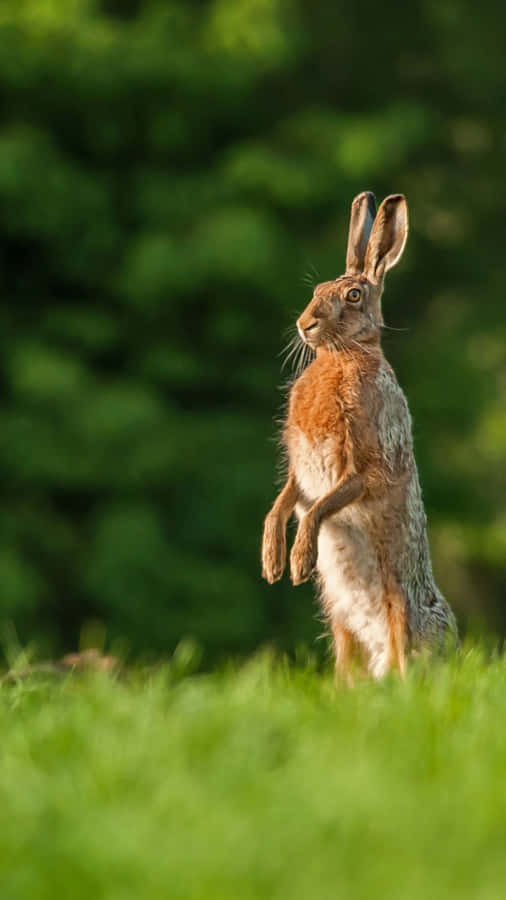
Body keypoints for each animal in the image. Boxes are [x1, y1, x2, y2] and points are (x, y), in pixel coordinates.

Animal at [261, 192, 458, 679]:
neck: (343, 356)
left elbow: (319, 508)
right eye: (316, 291)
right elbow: (284, 501)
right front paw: (273, 561)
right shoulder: (300, 471)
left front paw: (299, 562)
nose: (304, 324)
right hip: (340, 627)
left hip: (403, 615)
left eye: (353, 296)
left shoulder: (367, 465)